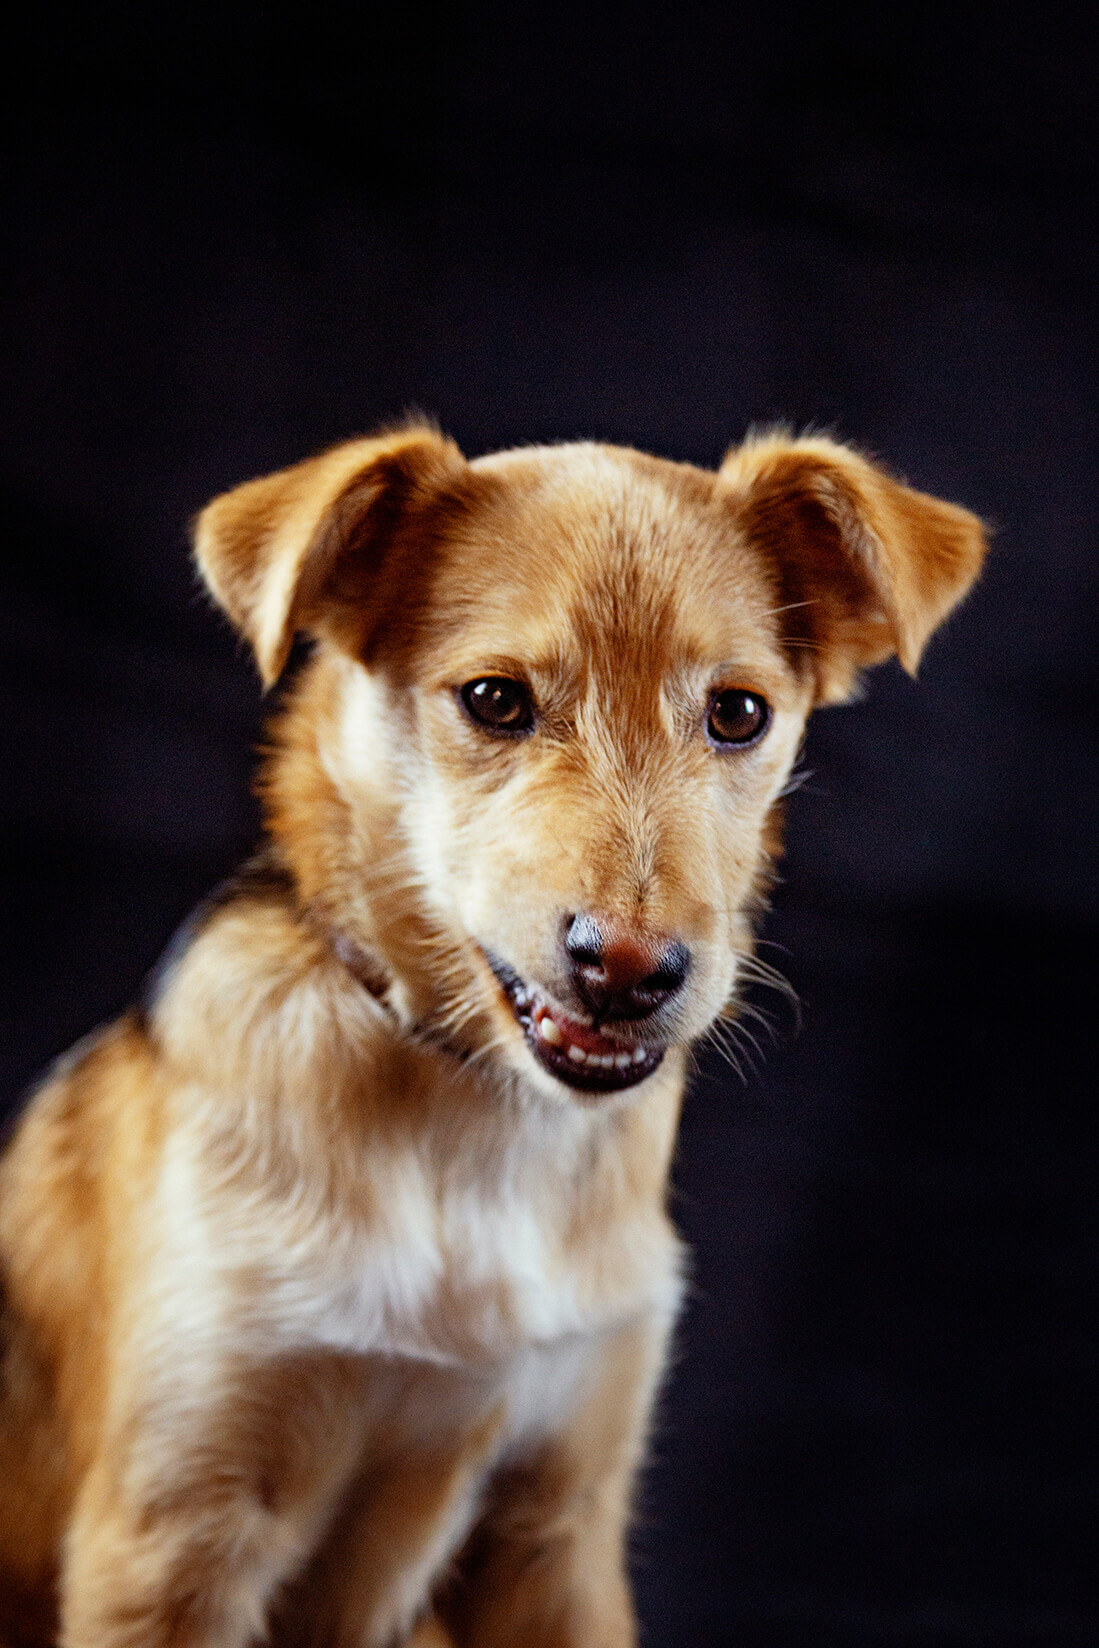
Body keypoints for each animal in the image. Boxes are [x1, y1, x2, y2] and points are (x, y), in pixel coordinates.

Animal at [0, 428, 988, 1648]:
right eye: (493, 700)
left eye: (738, 715)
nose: (629, 970)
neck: (468, 1120)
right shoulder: (172, 1534)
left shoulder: (556, 1527)